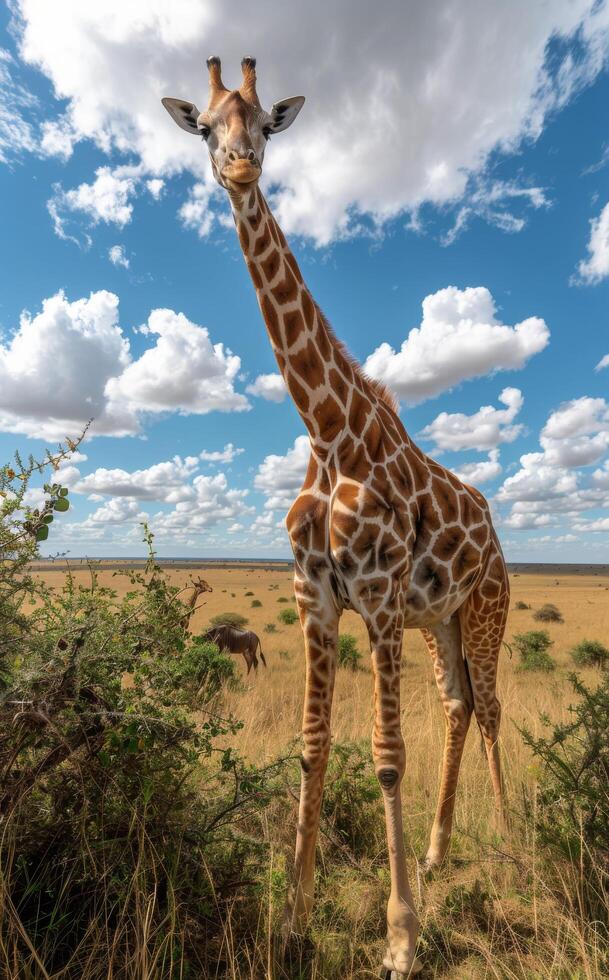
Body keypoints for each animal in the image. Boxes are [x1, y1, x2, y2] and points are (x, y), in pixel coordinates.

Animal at [163, 58, 510, 978]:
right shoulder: (314, 600)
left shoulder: (379, 599)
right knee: (458, 705)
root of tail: (498, 543)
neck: (329, 432)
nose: (239, 168)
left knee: (492, 708)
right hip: (441, 621)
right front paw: (293, 919)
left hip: (482, 611)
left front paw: (400, 939)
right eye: (205, 127)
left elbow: (386, 759)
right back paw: (437, 852)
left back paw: (510, 839)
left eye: (266, 125)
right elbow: (314, 745)